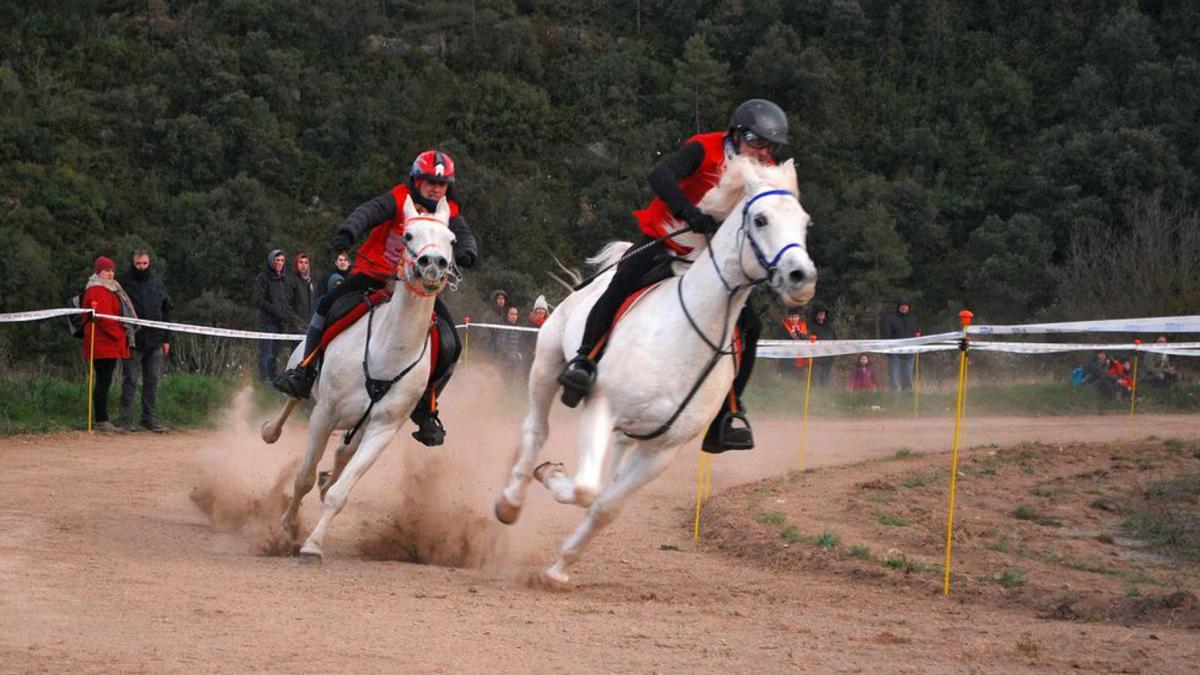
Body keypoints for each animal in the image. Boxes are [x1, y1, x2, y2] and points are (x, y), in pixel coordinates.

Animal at [260, 195, 456, 562]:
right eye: (408, 235)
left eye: (451, 240)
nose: (433, 264)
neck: (387, 351)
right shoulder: (324, 416)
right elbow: (303, 478)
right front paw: (287, 529)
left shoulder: (382, 430)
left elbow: (340, 492)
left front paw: (313, 545)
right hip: (301, 363)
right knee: (291, 400)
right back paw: (272, 428)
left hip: (361, 425)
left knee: (342, 454)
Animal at [489, 156, 816, 583]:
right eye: (760, 219)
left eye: (804, 223)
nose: (801, 278)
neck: (683, 337)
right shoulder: (601, 408)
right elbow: (584, 489)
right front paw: (551, 475)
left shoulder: (662, 450)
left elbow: (604, 505)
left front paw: (559, 569)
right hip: (546, 363)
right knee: (536, 430)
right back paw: (510, 502)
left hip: (629, 434)